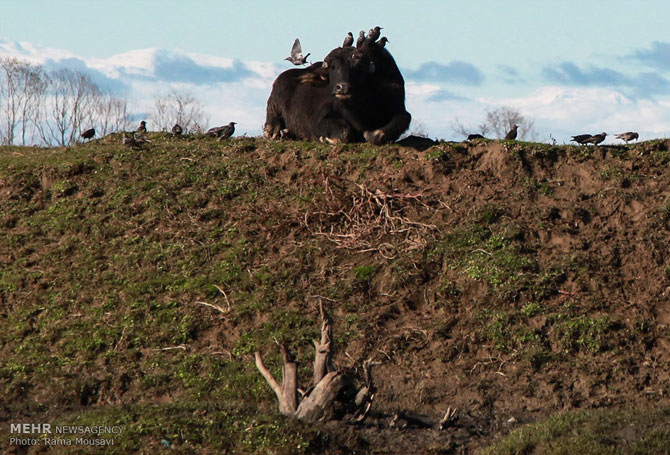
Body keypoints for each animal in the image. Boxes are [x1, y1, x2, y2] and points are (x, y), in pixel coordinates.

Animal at [266, 37, 412, 144]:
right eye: (333, 67)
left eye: (359, 67)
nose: (342, 87)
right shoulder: (319, 119)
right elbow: (344, 131)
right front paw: (325, 139)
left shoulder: (398, 105)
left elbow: (403, 119)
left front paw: (372, 134)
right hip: (275, 103)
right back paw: (275, 131)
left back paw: (286, 133)